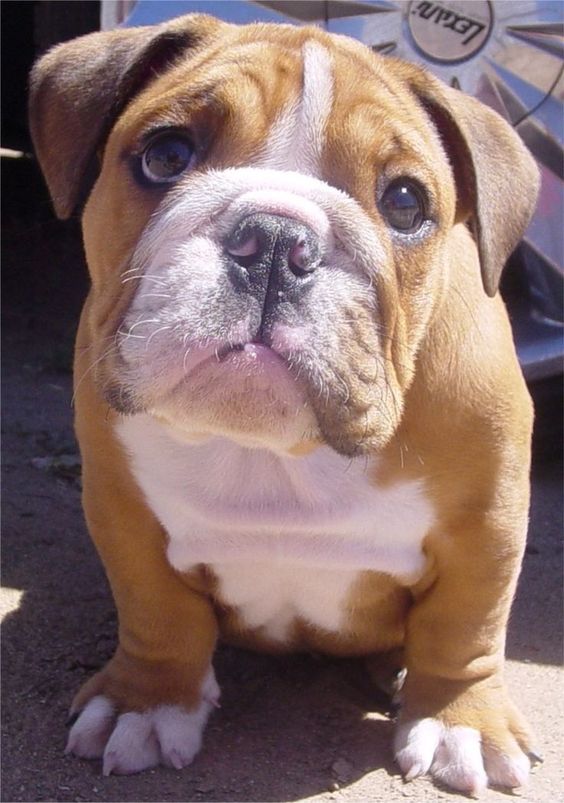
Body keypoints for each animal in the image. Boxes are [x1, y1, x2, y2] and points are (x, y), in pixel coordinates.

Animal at [28, 11, 540, 792]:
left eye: (405, 203)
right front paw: (147, 702)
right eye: (166, 155)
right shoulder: (122, 506)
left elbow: (467, 624)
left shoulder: (488, 523)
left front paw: (462, 719)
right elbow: (156, 609)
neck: (279, 448)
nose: (274, 238)